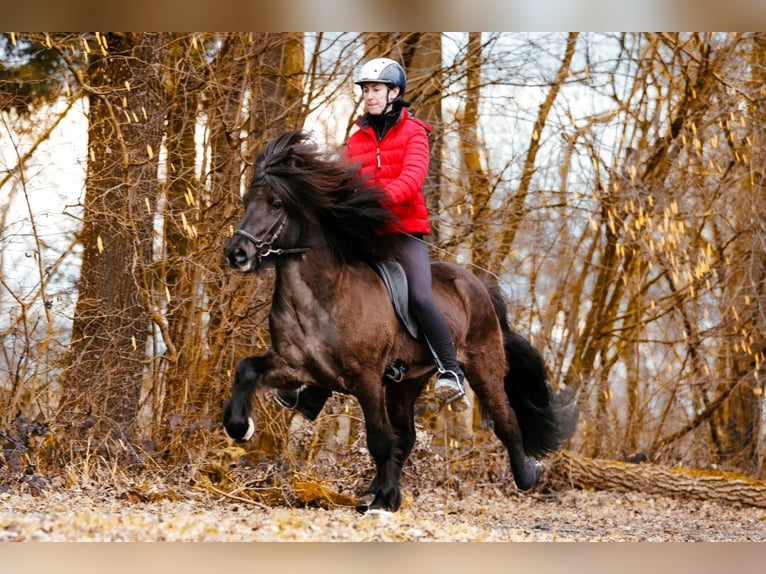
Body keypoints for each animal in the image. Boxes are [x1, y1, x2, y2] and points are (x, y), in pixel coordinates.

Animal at [222, 133, 576, 516]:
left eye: (276, 204)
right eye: (246, 201)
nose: (236, 253)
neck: (321, 296)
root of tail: (479, 286)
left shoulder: (366, 377)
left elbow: (378, 439)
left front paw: (385, 500)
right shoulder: (296, 366)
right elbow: (246, 369)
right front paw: (240, 427)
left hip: (483, 366)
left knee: (505, 420)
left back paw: (527, 475)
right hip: (405, 384)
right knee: (407, 438)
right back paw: (375, 492)